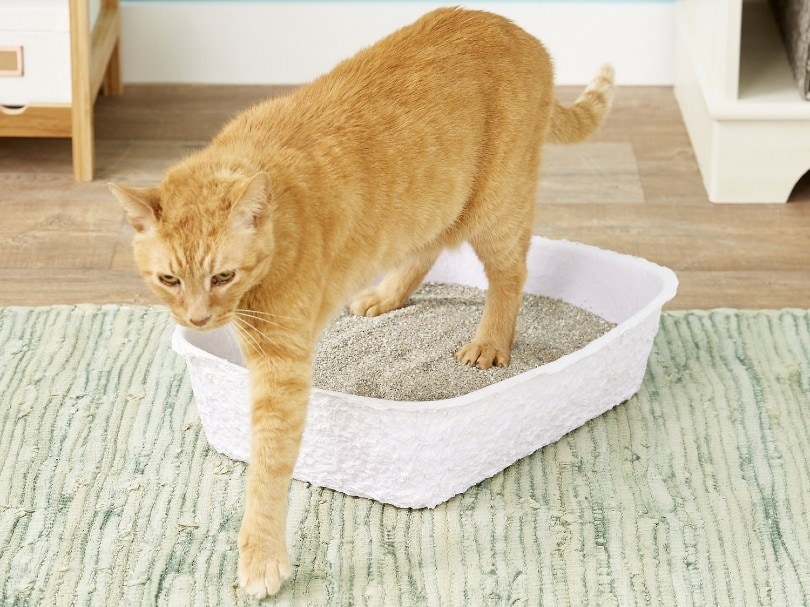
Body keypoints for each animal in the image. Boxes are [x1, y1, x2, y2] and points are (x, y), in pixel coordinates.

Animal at [109, 8, 612, 600]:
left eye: (222, 276)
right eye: (168, 278)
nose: (197, 318)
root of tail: (519, 32)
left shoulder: (280, 366)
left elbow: (267, 466)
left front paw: (261, 558)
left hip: (497, 207)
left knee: (510, 274)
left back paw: (489, 344)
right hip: (430, 204)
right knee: (428, 248)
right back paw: (386, 296)